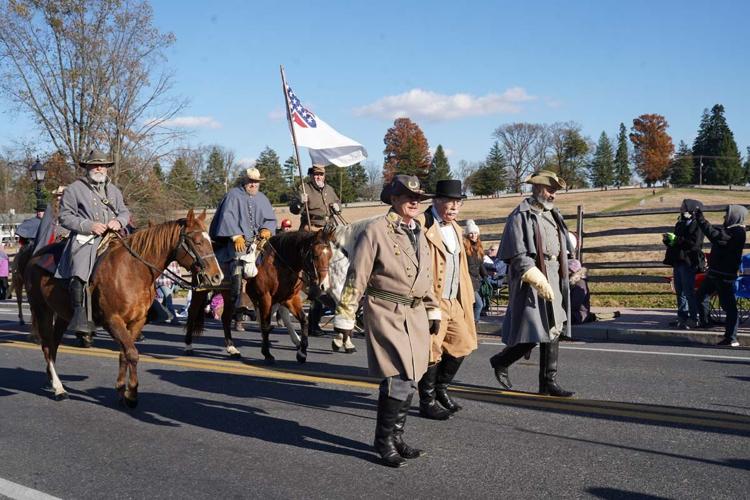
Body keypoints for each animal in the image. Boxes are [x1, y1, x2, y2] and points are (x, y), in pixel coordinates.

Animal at [25, 208, 223, 406]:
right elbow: (132, 353)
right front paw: (132, 394)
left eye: (210, 242)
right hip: (42, 310)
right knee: (47, 346)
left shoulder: (136, 321)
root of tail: (34, 256)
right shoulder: (113, 320)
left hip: (63, 315)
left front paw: (122, 390)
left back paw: (53, 380)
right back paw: (59, 388)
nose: (217, 277)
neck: (133, 271)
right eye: (197, 241)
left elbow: (125, 353)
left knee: (54, 345)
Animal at [185, 229, 334, 364]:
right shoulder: (265, 297)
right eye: (315, 255)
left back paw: (232, 349)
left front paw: (302, 353)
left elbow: (304, 320)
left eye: (330, 255)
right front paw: (267, 353)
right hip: (201, 290)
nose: (324, 286)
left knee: (225, 318)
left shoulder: (289, 298)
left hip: (228, 295)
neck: (279, 265)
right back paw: (188, 346)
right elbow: (266, 324)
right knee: (192, 312)